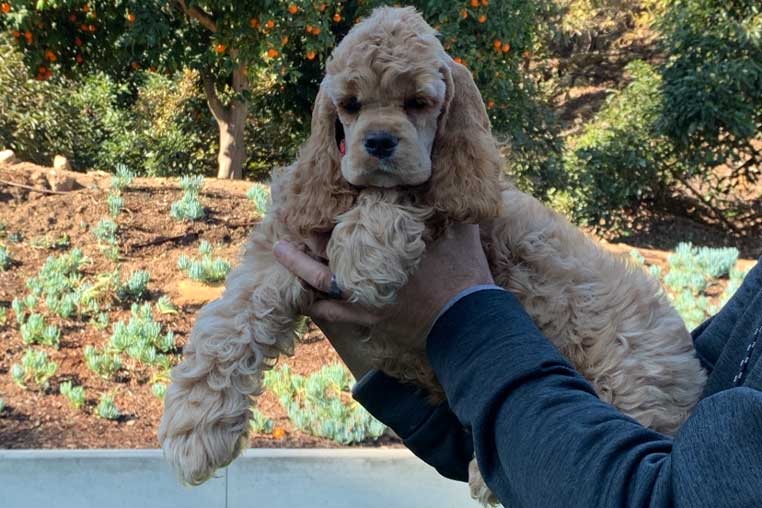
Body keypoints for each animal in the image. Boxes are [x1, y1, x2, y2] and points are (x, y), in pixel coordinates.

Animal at [160, 6, 708, 504]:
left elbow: (403, 196)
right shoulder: (283, 243)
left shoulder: (452, 201)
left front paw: (364, 257)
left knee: (631, 410)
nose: (380, 142)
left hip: (632, 360)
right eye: (350, 105)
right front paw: (194, 429)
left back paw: (487, 473)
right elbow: (227, 323)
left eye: (418, 102)